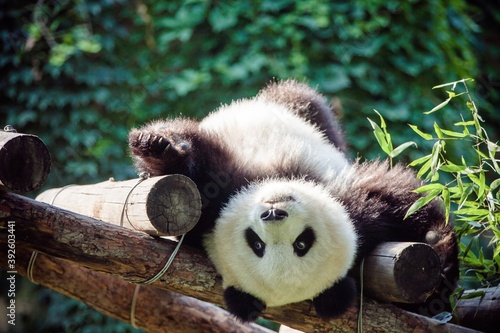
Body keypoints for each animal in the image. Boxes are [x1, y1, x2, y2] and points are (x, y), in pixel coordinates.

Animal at [128, 80, 458, 322]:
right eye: (256, 243)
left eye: (301, 244)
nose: (272, 212)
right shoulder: (218, 196)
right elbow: (194, 171)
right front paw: (159, 146)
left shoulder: (360, 212)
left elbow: (400, 200)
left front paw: (436, 252)